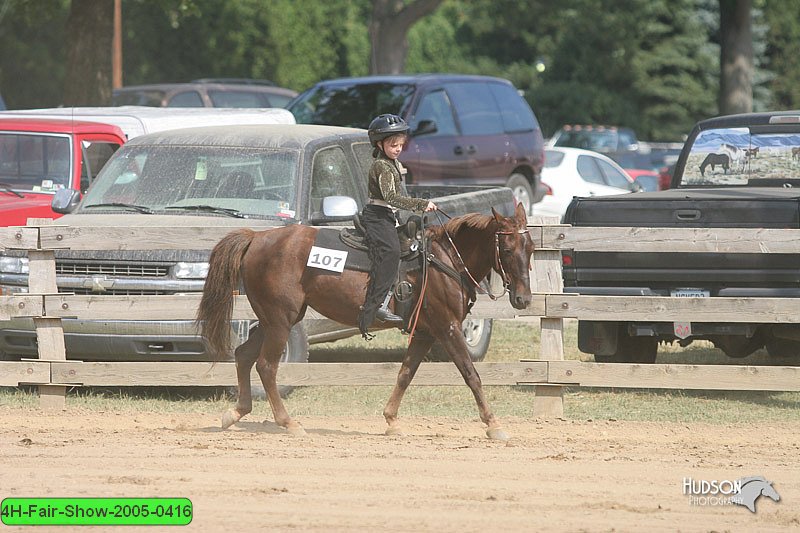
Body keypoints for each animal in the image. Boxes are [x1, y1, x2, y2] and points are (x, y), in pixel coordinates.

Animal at [195, 202, 532, 438]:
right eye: (506, 248)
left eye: (529, 248)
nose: (523, 299)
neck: (445, 259)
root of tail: (256, 238)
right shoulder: (447, 327)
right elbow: (471, 374)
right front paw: (494, 424)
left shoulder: (425, 332)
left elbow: (405, 374)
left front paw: (392, 421)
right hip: (280, 320)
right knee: (266, 366)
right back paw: (288, 422)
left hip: (271, 320)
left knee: (243, 355)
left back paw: (236, 413)